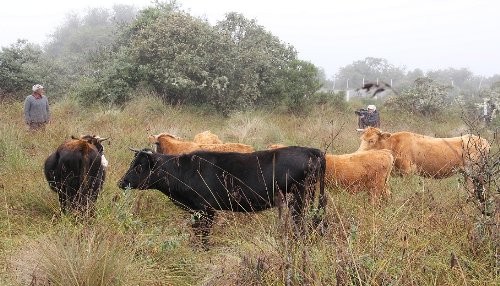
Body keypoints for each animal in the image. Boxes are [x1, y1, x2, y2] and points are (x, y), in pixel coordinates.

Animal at [118, 146, 326, 245]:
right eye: (132, 163)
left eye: (139, 167)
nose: (121, 182)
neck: (184, 170)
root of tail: (310, 150)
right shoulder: (196, 211)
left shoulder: (206, 209)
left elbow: (203, 233)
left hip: (300, 198)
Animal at [358, 128, 490, 201]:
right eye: (362, 138)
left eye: (371, 140)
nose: (358, 152)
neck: (394, 144)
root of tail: (483, 141)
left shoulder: (408, 173)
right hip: (468, 174)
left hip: (475, 172)